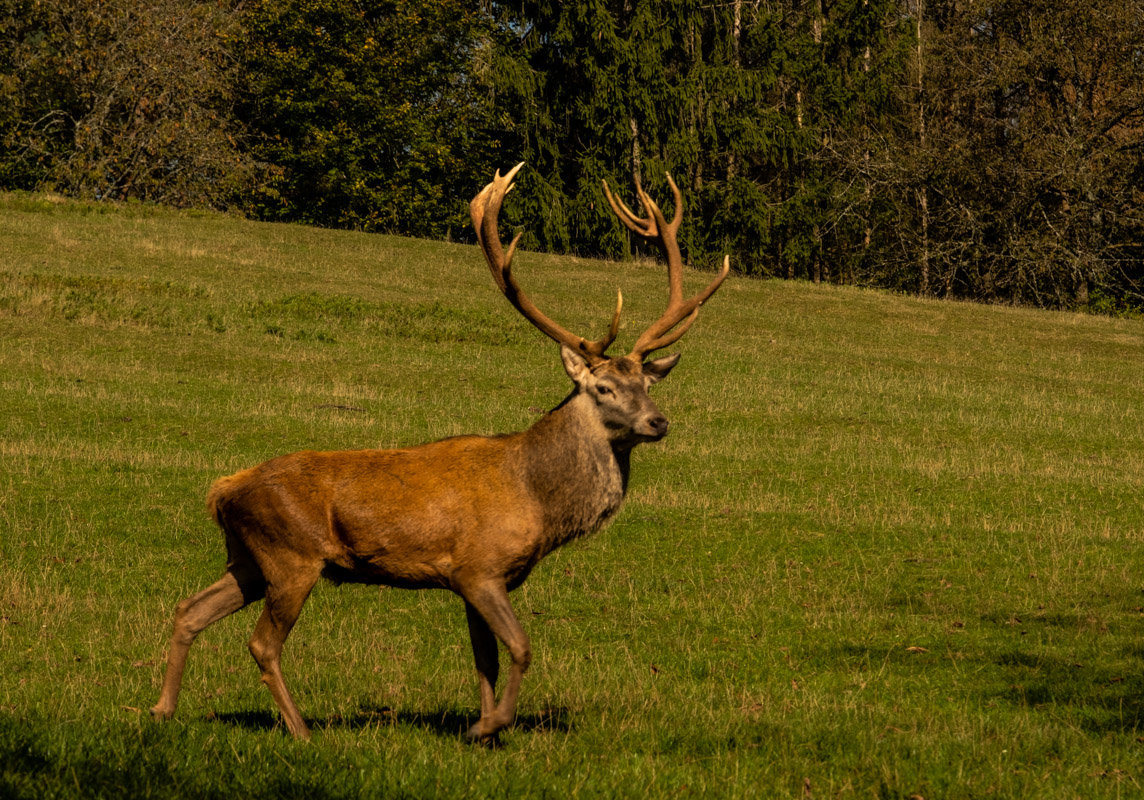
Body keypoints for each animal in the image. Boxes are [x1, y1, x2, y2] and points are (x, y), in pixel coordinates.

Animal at [149, 162, 723, 746]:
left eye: (647, 385)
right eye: (603, 388)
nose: (658, 422)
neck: (537, 499)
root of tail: (222, 491)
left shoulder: (477, 581)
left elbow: (485, 659)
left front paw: (485, 734)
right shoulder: (478, 568)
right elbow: (521, 648)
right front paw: (487, 724)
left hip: (247, 557)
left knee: (189, 610)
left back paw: (161, 710)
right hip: (291, 556)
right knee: (263, 643)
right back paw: (302, 730)